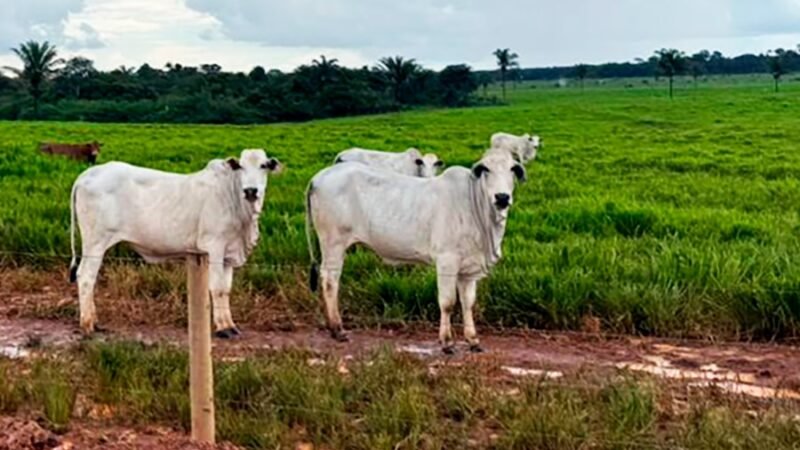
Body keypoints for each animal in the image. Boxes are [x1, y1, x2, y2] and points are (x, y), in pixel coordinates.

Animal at [68, 149, 282, 338]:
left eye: (263, 165)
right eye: (241, 166)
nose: (251, 191)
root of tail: (88, 174)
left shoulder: (229, 254)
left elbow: (226, 291)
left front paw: (230, 324)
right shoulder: (214, 247)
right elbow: (217, 288)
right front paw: (223, 328)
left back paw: (95, 321)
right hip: (95, 243)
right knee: (86, 276)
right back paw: (88, 325)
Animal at [305, 151, 526, 353]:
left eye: (513, 169)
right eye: (486, 169)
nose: (502, 197)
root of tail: (318, 177)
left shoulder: (468, 269)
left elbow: (468, 303)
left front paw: (473, 340)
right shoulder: (447, 261)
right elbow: (447, 302)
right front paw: (447, 342)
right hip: (333, 243)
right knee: (330, 280)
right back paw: (337, 329)